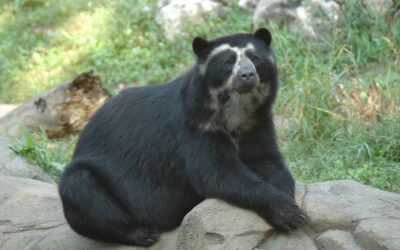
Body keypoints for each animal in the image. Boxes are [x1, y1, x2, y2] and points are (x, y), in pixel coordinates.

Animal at [57, 27, 304, 246]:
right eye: (228, 62)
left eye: (255, 58)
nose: (247, 75)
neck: (235, 109)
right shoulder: (196, 127)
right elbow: (219, 172)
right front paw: (289, 214)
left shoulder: (257, 121)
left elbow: (267, 158)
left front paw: (286, 192)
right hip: (88, 185)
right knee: (81, 188)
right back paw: (143, 234)